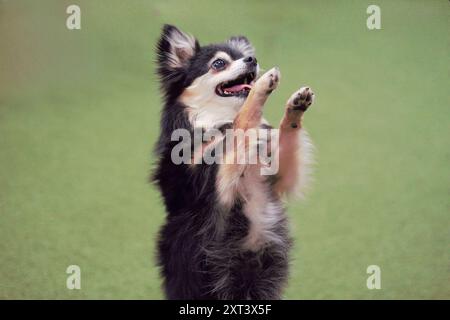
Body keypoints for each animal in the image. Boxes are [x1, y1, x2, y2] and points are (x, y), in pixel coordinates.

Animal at [151, 25, 312, 300]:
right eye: (219, 64)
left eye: (245, 57)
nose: (252, 60)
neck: (217, 119)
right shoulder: (221, 186)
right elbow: (242, 121)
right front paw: (262, 86)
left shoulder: (279, 176)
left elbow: (281, 132)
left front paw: (295, 108)